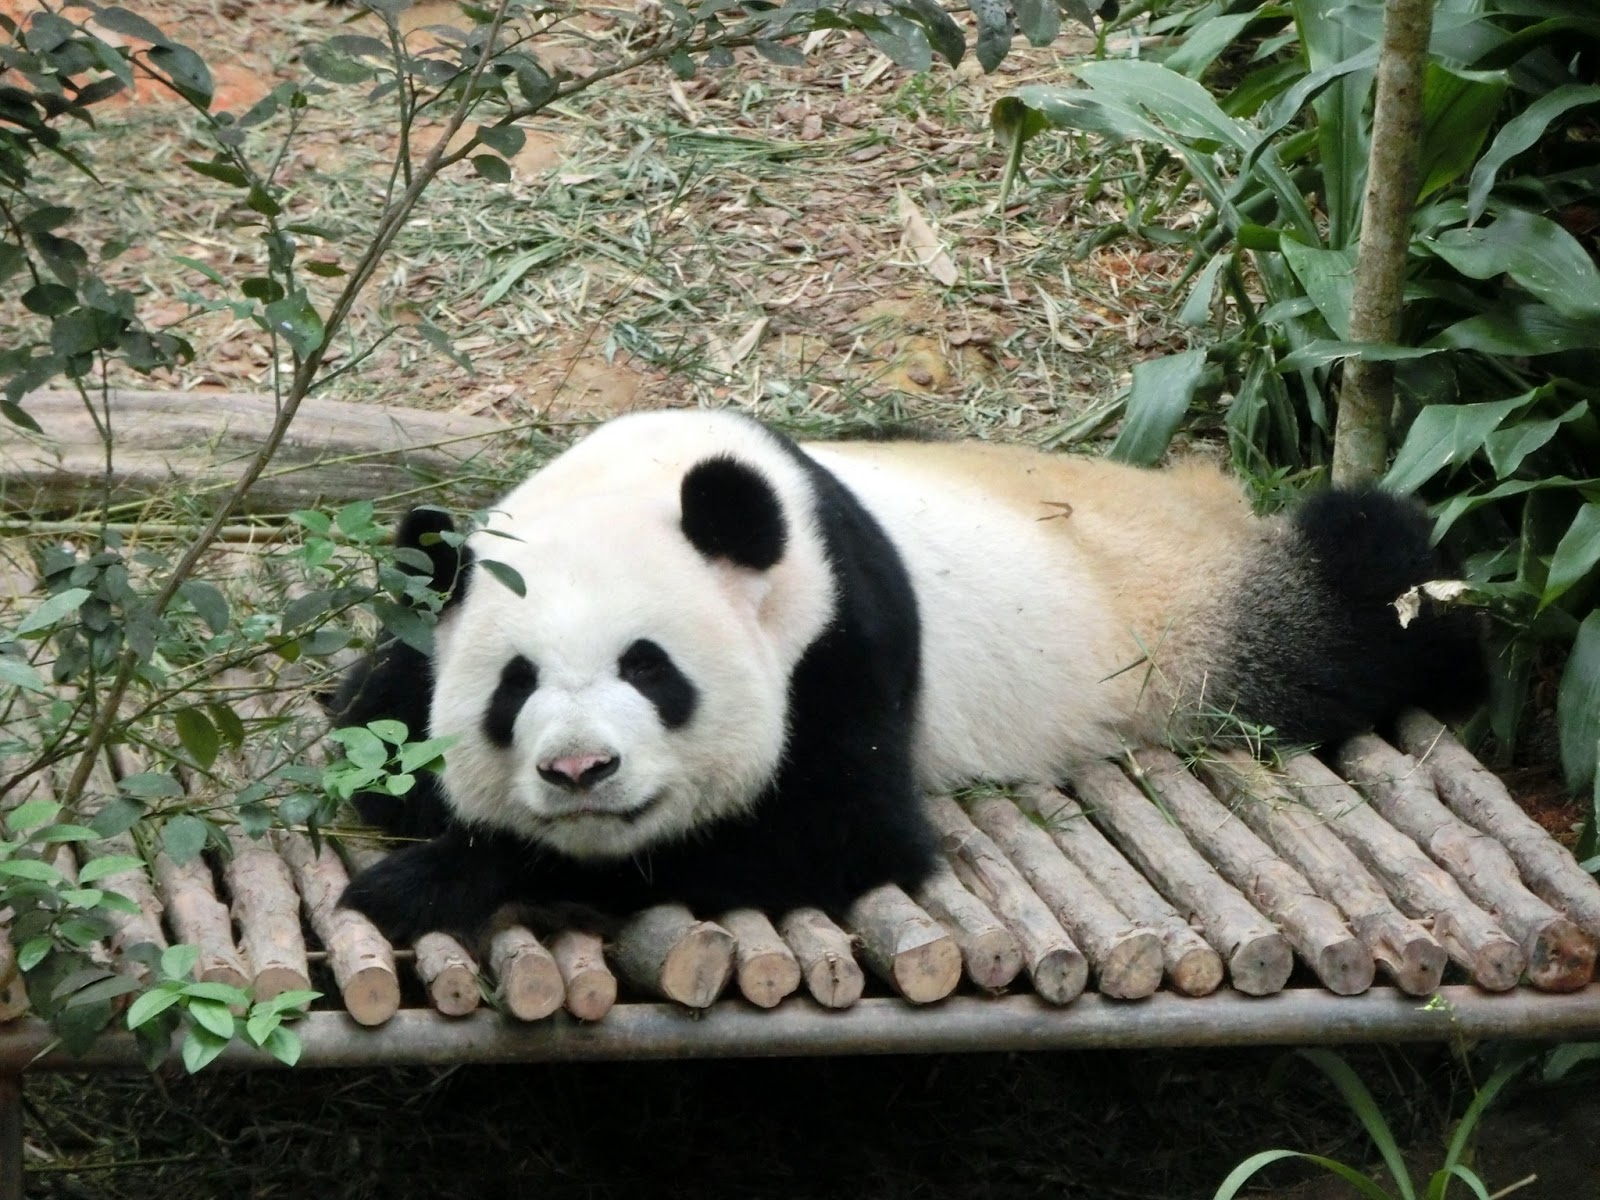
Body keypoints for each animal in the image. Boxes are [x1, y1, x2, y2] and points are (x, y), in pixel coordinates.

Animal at [335, 408, 1486, 943]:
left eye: (650, 670)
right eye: (513, 689)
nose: (579, 772)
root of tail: (1215, 500)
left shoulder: (840, 639)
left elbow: (840, 836)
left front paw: (434, 878)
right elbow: (375, 722)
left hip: (1206, 636)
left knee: (1361, 599)